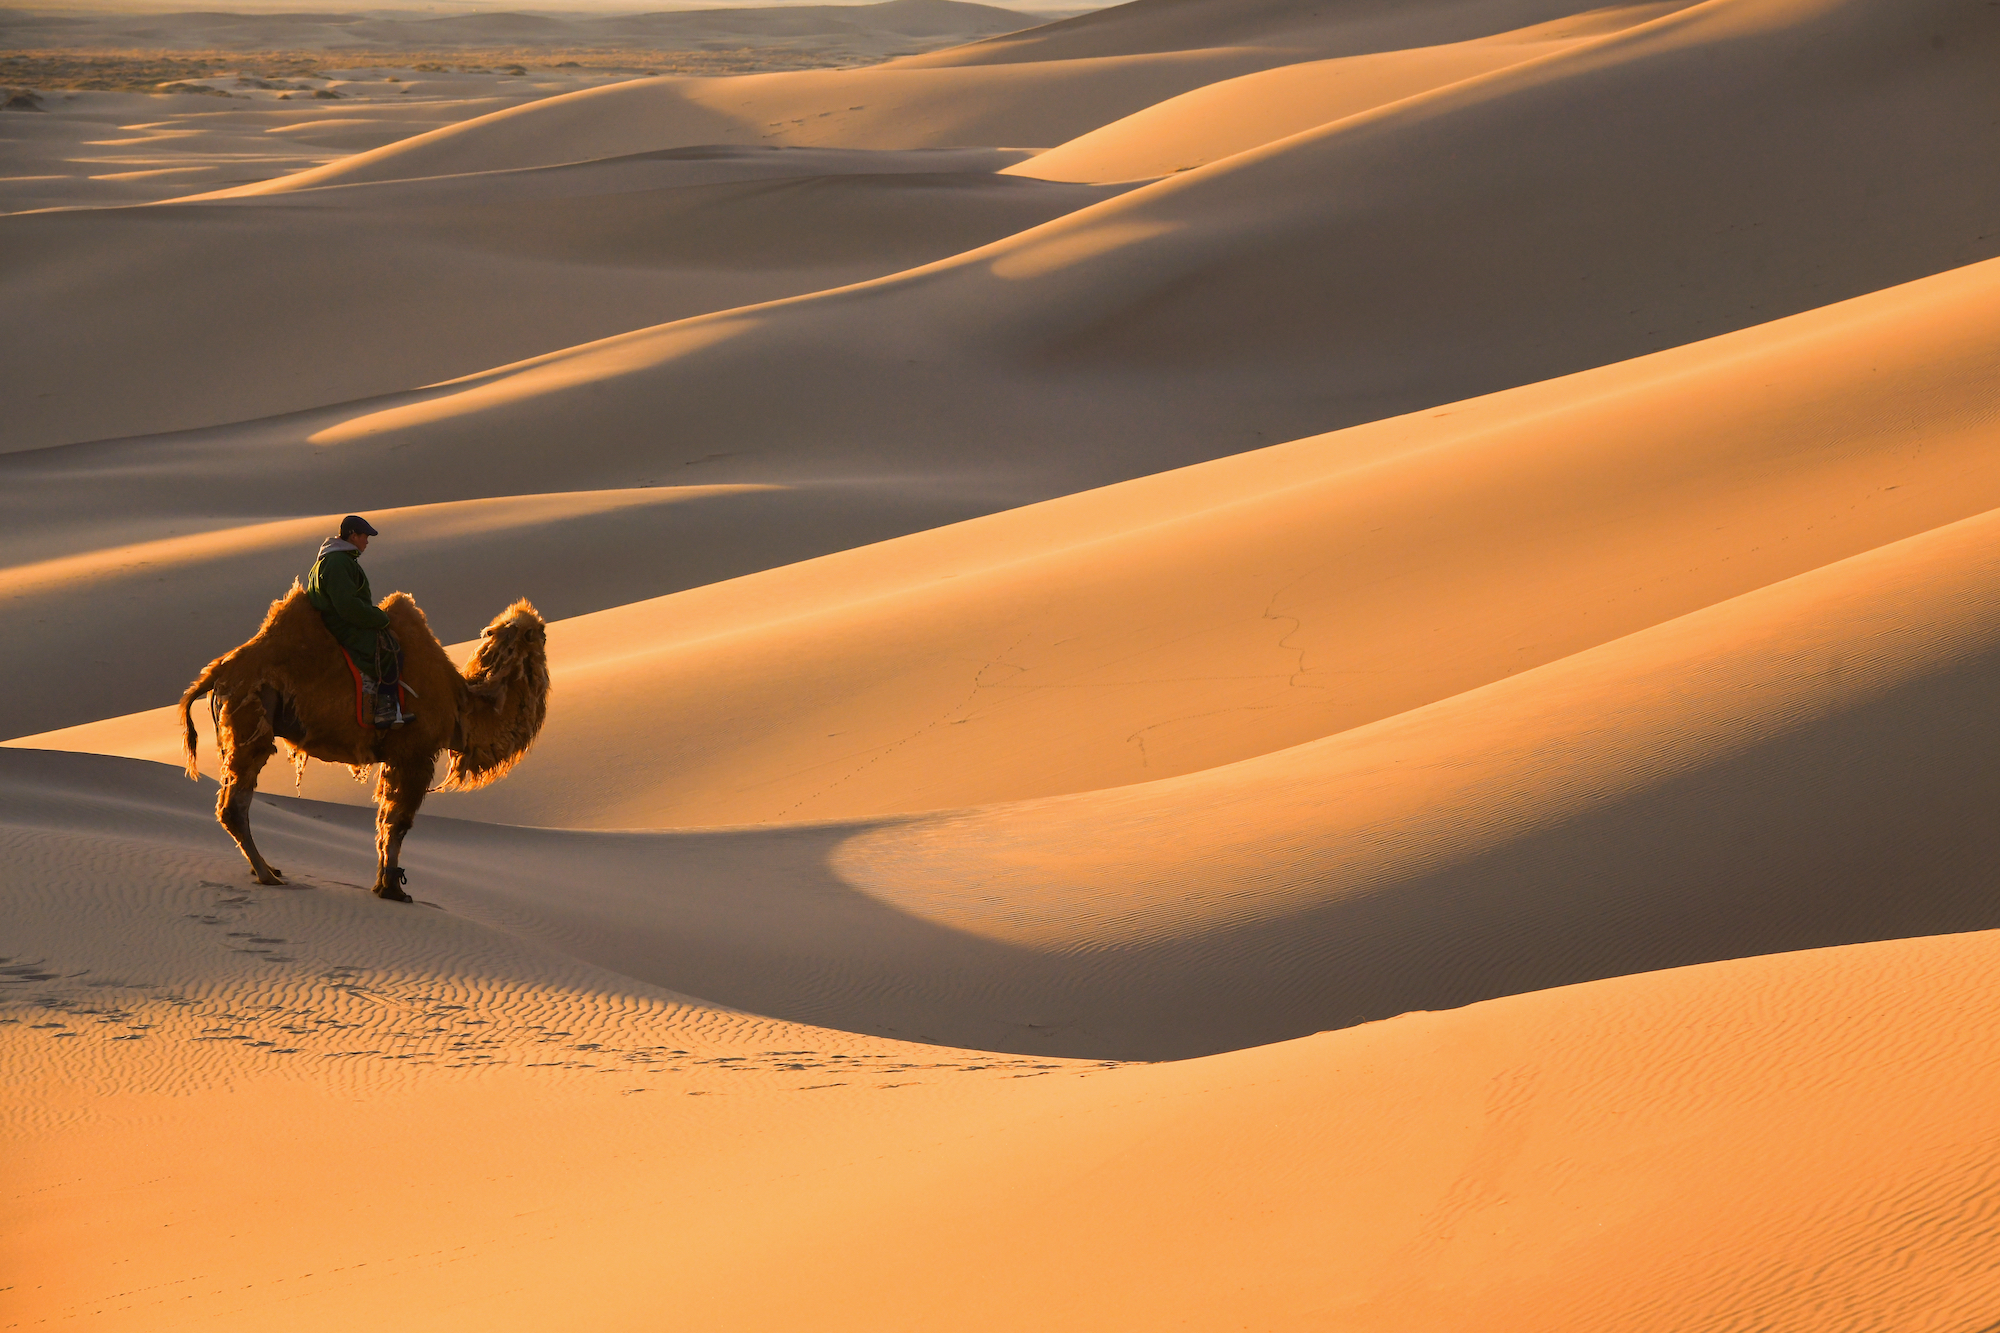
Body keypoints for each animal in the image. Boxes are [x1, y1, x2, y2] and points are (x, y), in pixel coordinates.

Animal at [179, 588, 548, 896]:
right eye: (541, 633)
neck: (462, 704)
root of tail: (218, 672)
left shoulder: (395, 757)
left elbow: (384, 819)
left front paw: (383, 883)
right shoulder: (414, 754)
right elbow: (398, 822)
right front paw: (392, 889)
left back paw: (269, 869)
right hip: (252, 718)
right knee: (234, 804)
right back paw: (267, 875)